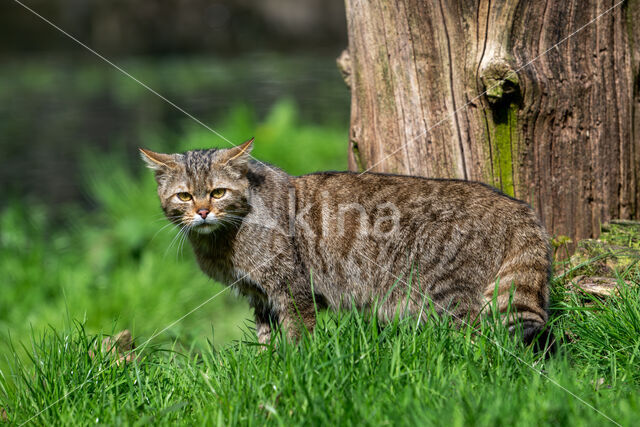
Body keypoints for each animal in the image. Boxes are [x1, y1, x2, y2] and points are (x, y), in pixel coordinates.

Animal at [142, 140, 552, 352]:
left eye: (217, 192)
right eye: (183, 196)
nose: (202, 211)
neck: (222, 241)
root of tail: (517, 206)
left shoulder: (291, 287)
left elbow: (298, 335)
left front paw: (296, 364)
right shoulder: (259, 296)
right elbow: (265, 340)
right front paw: (266, 364)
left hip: (449, 295)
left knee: (478, 340)